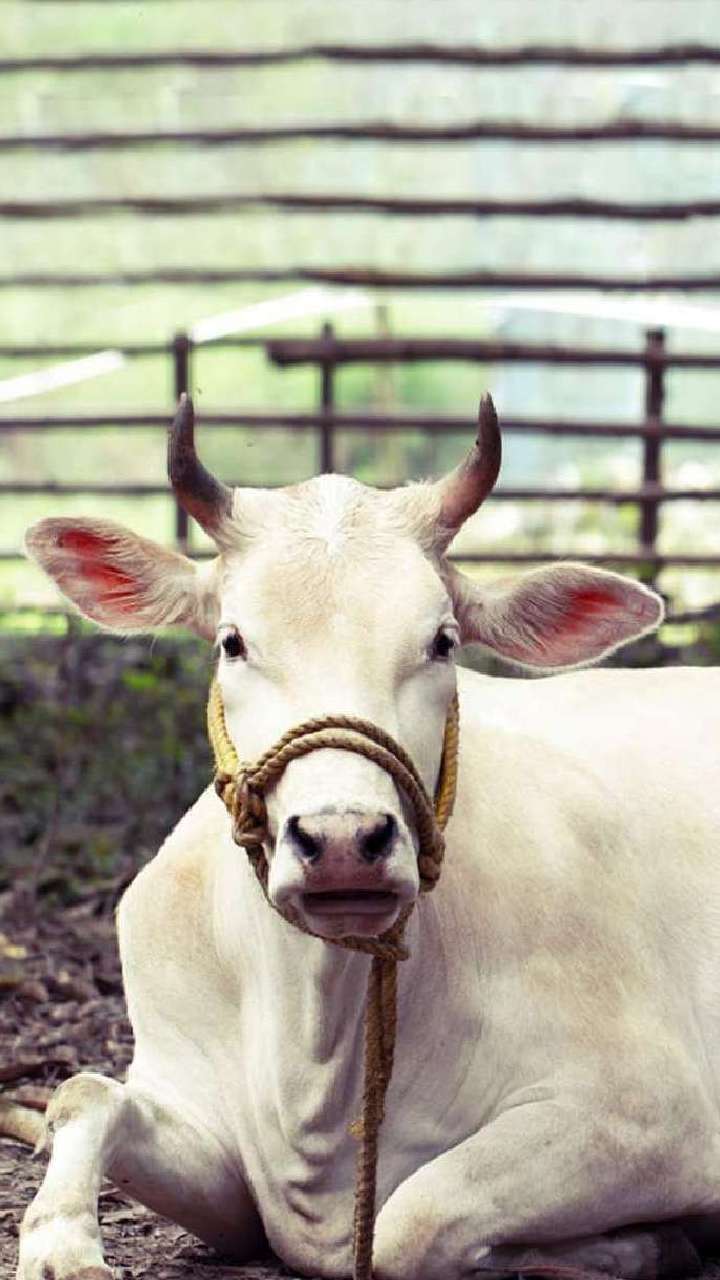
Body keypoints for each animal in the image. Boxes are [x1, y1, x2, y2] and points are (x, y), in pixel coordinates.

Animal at [9, 393, 720, 1280]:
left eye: (443, 641)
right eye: (233, 641)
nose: (344, 840)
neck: (315, 1059)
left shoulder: (655, 1115)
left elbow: (406, 1225)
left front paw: (631, 1241)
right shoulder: (215, 1151)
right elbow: (87, 1092)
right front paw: (59, 1239)